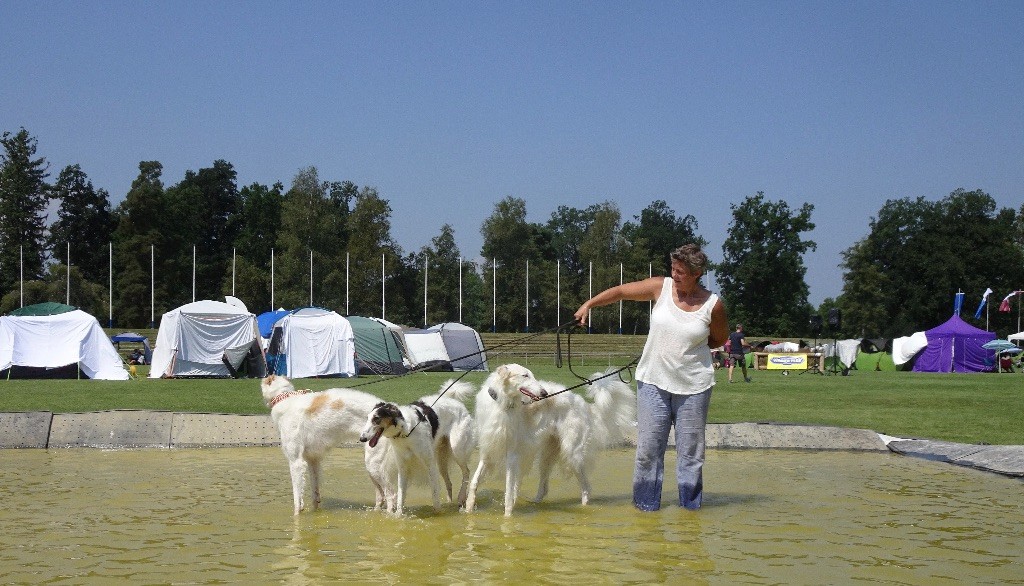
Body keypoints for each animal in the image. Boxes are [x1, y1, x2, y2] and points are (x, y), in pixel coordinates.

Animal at [262, 372, 382, 514]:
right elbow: (314, 494)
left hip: (373, 463)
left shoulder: (296, 461)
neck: (284, 397)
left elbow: (297, 500)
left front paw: (296, 516)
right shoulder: (313, 460)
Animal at [360, 379, 475, 512]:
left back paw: (461, 498)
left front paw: (438, 514)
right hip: (441, 459)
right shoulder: (403, 466)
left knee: (466, 472)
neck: (406, 431)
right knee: (449, 483)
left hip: (456, 449)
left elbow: (435, 496)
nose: (362, 438)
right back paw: (450, 502)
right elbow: (400, 497)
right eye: (367, 418)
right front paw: (397, 515)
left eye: (376, 418)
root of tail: (453, 400)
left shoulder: (429, 464)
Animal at [462, 364, 630, 514]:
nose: (544, 393)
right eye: (525, 375)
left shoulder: (512, 455)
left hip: (572, 454)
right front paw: (469, 509)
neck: (502, 403)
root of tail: (584, 403)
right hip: (547, 456)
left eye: (532, 374)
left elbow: (509, 494)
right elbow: (474, 482)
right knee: (543, 488)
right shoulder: (487, 451)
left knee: (586, 488)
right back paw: (534, 503)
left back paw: (584, 507)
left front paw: (507, 519)